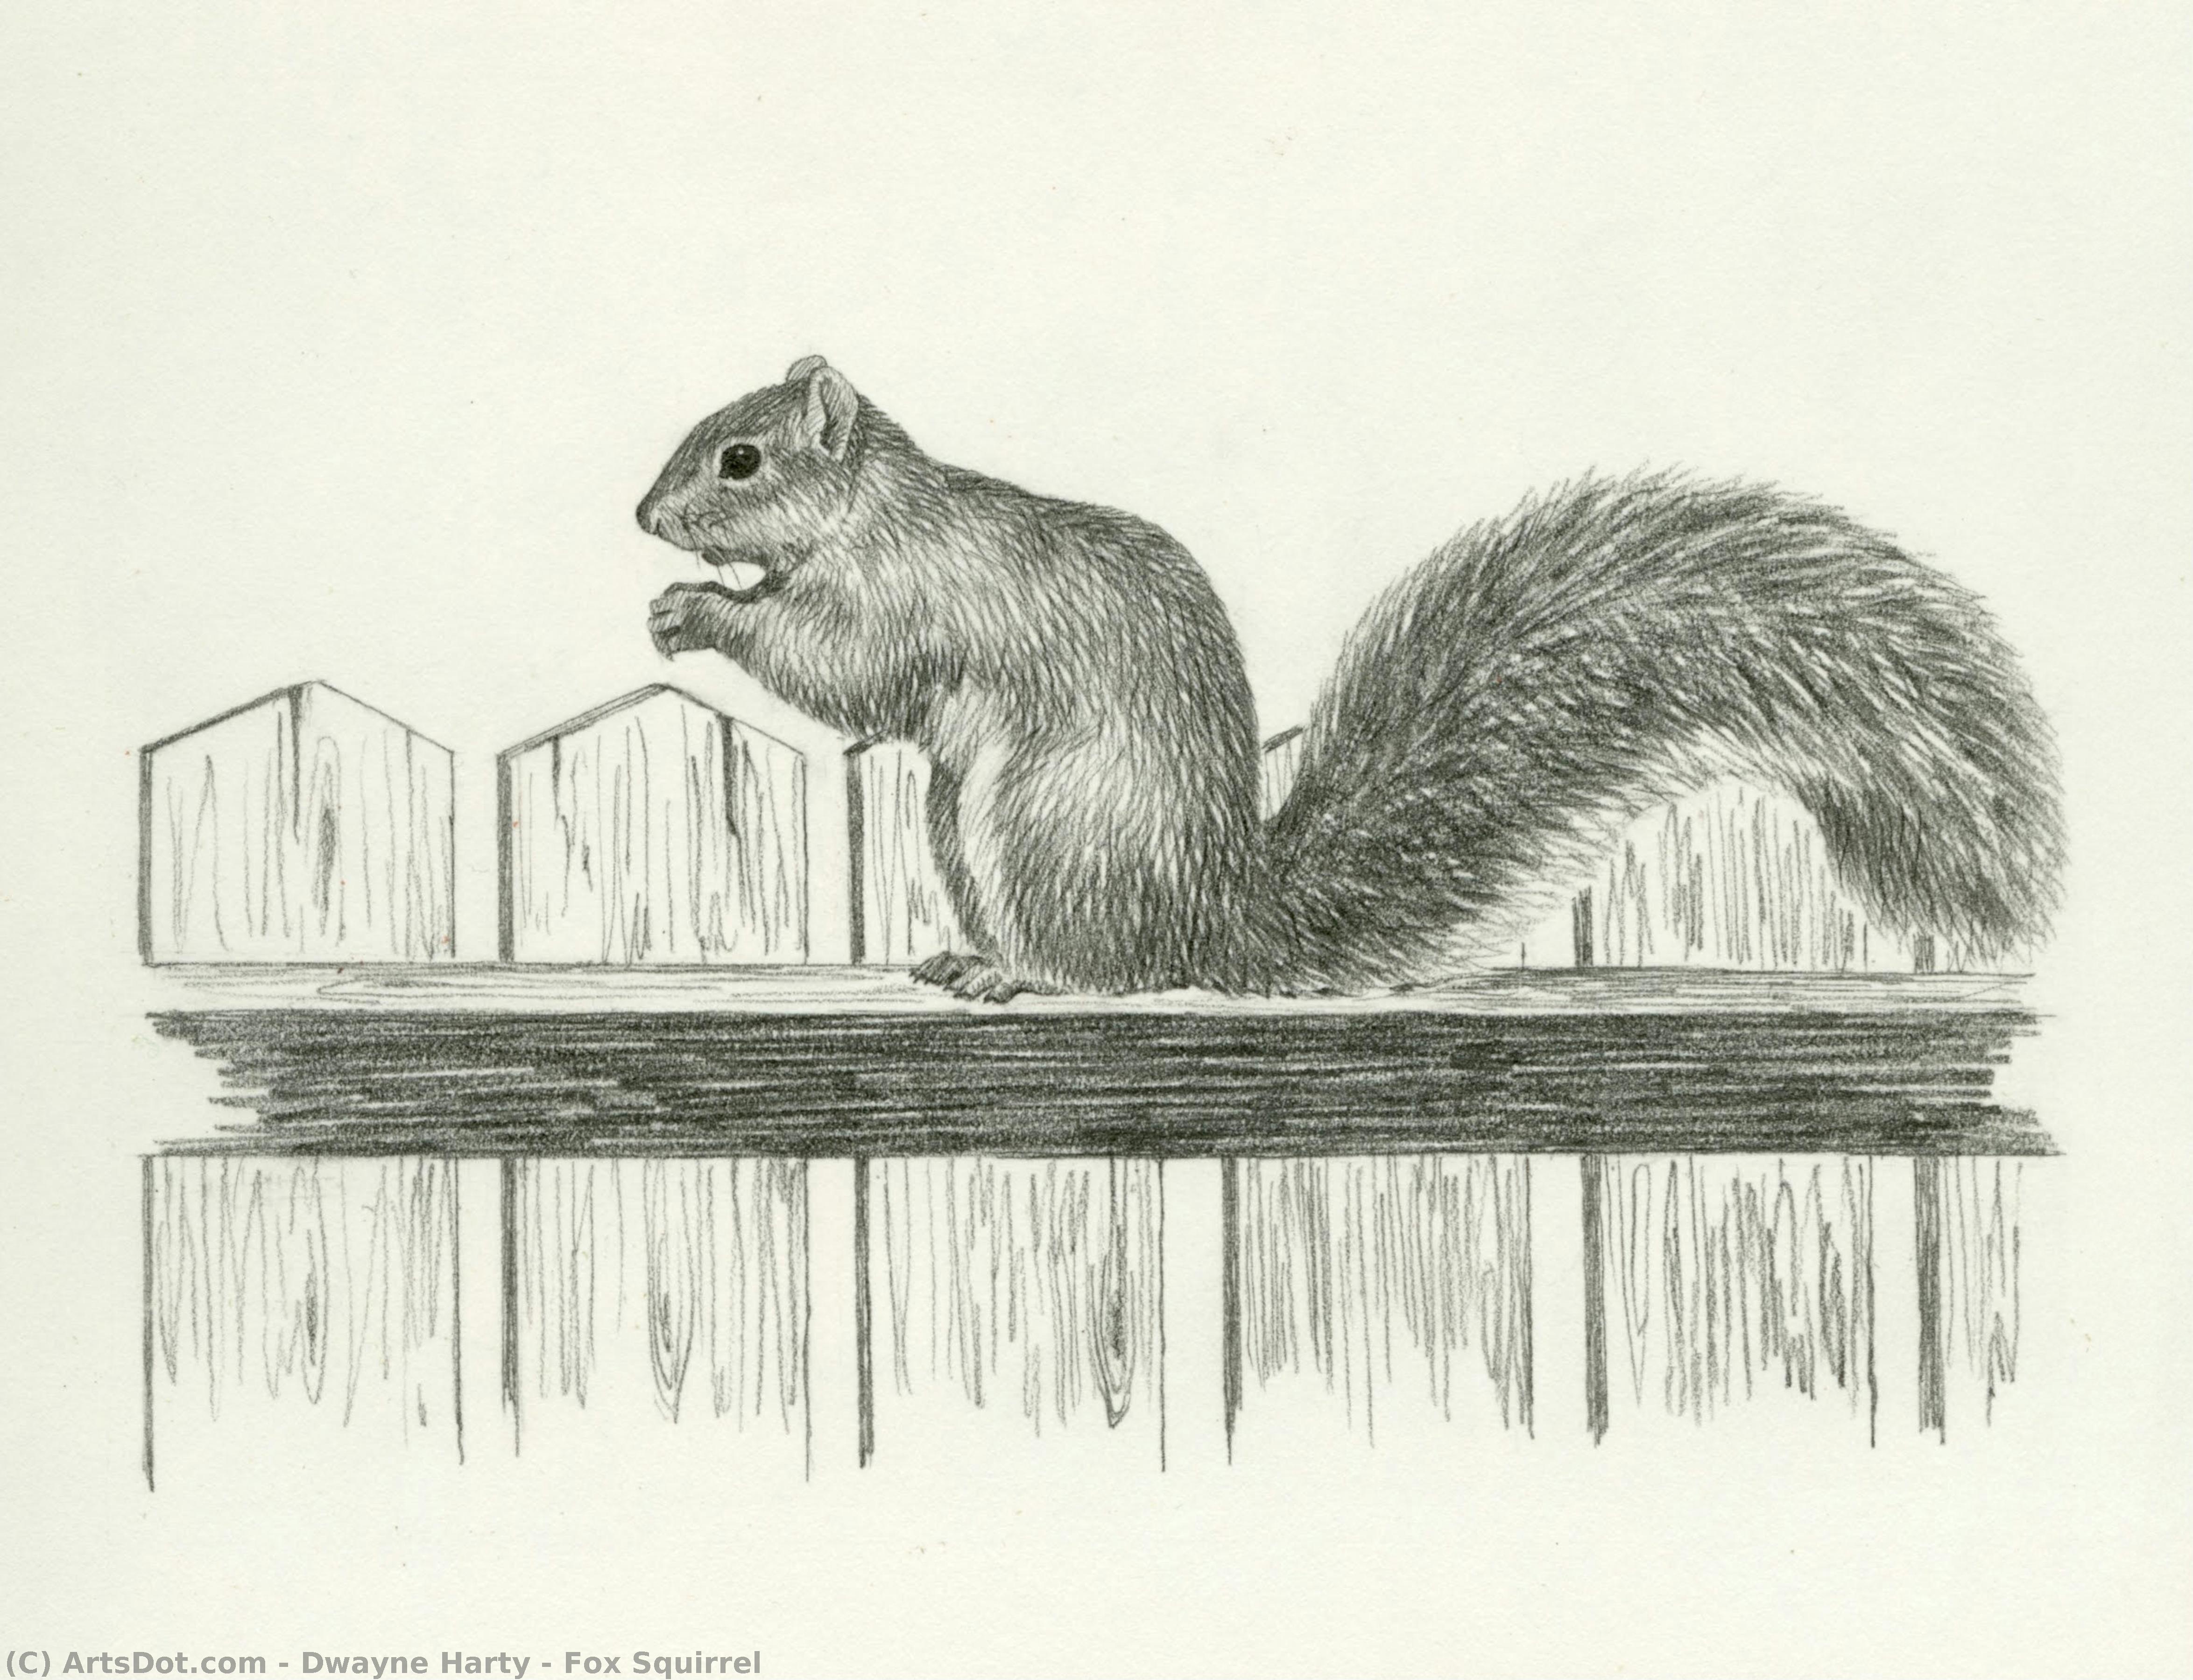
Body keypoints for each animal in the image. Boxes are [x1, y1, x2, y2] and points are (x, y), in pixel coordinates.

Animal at [638, 356, 2062, 1001]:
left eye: (744, 459)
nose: (647, 515)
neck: (877, 511)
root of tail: (1212, 912)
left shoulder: (910, 599)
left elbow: (841, 667)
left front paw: (698, 611)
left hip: (1044, 828)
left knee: (1115, 971)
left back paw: (1024, 975)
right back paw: (964, 957)